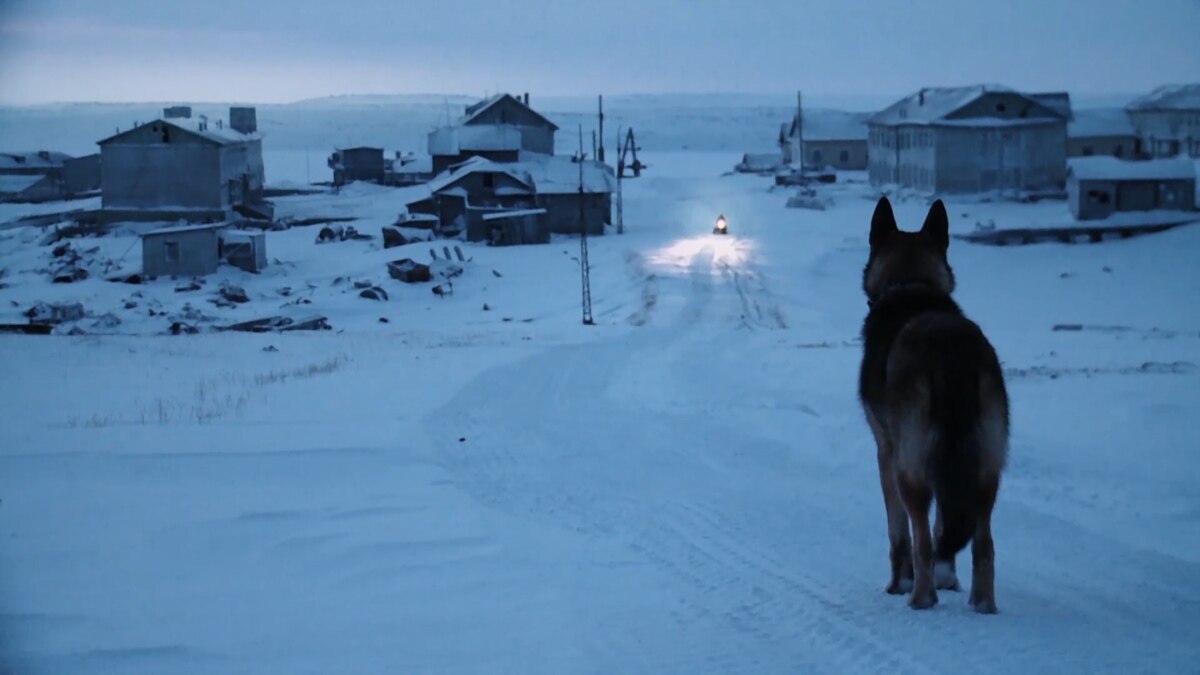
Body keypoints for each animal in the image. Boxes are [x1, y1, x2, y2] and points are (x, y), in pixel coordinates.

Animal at [859, 195, 1008, 610]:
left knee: (923, 540)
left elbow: (899, 534)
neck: (912, 286)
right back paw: (981, 604)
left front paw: (898, 583)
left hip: (911, 469)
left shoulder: (886, 453)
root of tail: (951, 352)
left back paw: (919, 597)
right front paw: (948, 578)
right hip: (987, 468)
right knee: (983, 546)